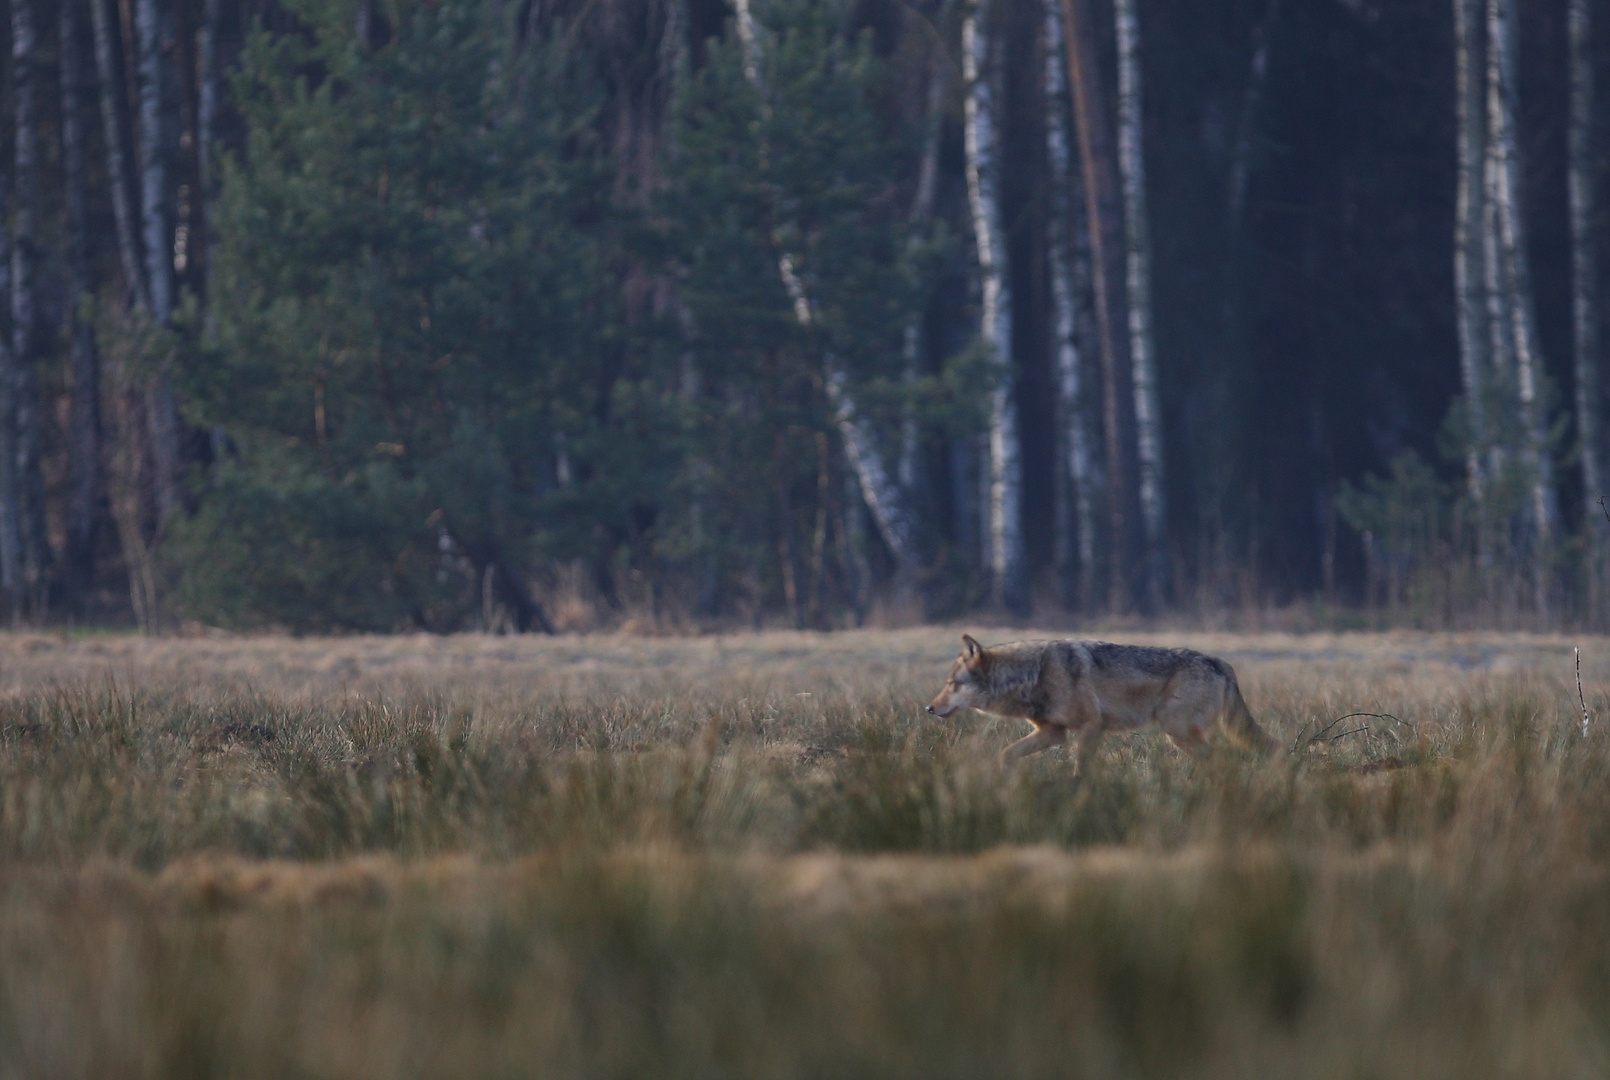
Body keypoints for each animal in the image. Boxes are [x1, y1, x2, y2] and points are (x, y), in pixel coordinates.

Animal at [927, 637, 1275, 772]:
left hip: (1175, 731)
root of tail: (1220, 662)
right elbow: (1006, 753)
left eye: (951, 684)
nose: (929, 709)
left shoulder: (1090, 726)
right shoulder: (1052, 733)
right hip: (1178, 736)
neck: (1033, 674)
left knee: (1222, 758)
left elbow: (1081, 770)